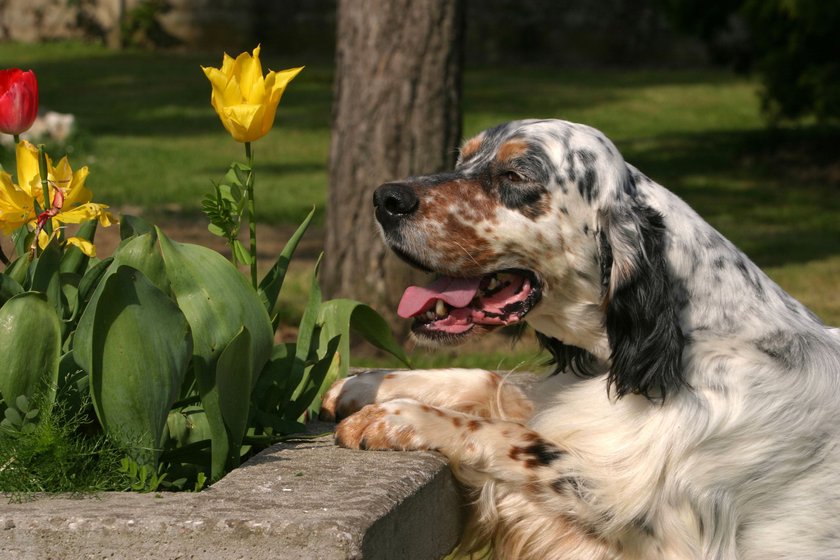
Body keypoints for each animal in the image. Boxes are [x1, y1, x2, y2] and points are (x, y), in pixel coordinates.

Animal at [318, 119, 836, 560]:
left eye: (515, 174)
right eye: (462, 160)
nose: (385, 198)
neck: (688, 339)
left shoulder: (667, 532)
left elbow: (517, 440)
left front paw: (397, 418)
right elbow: (488, 381)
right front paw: (368, 384)